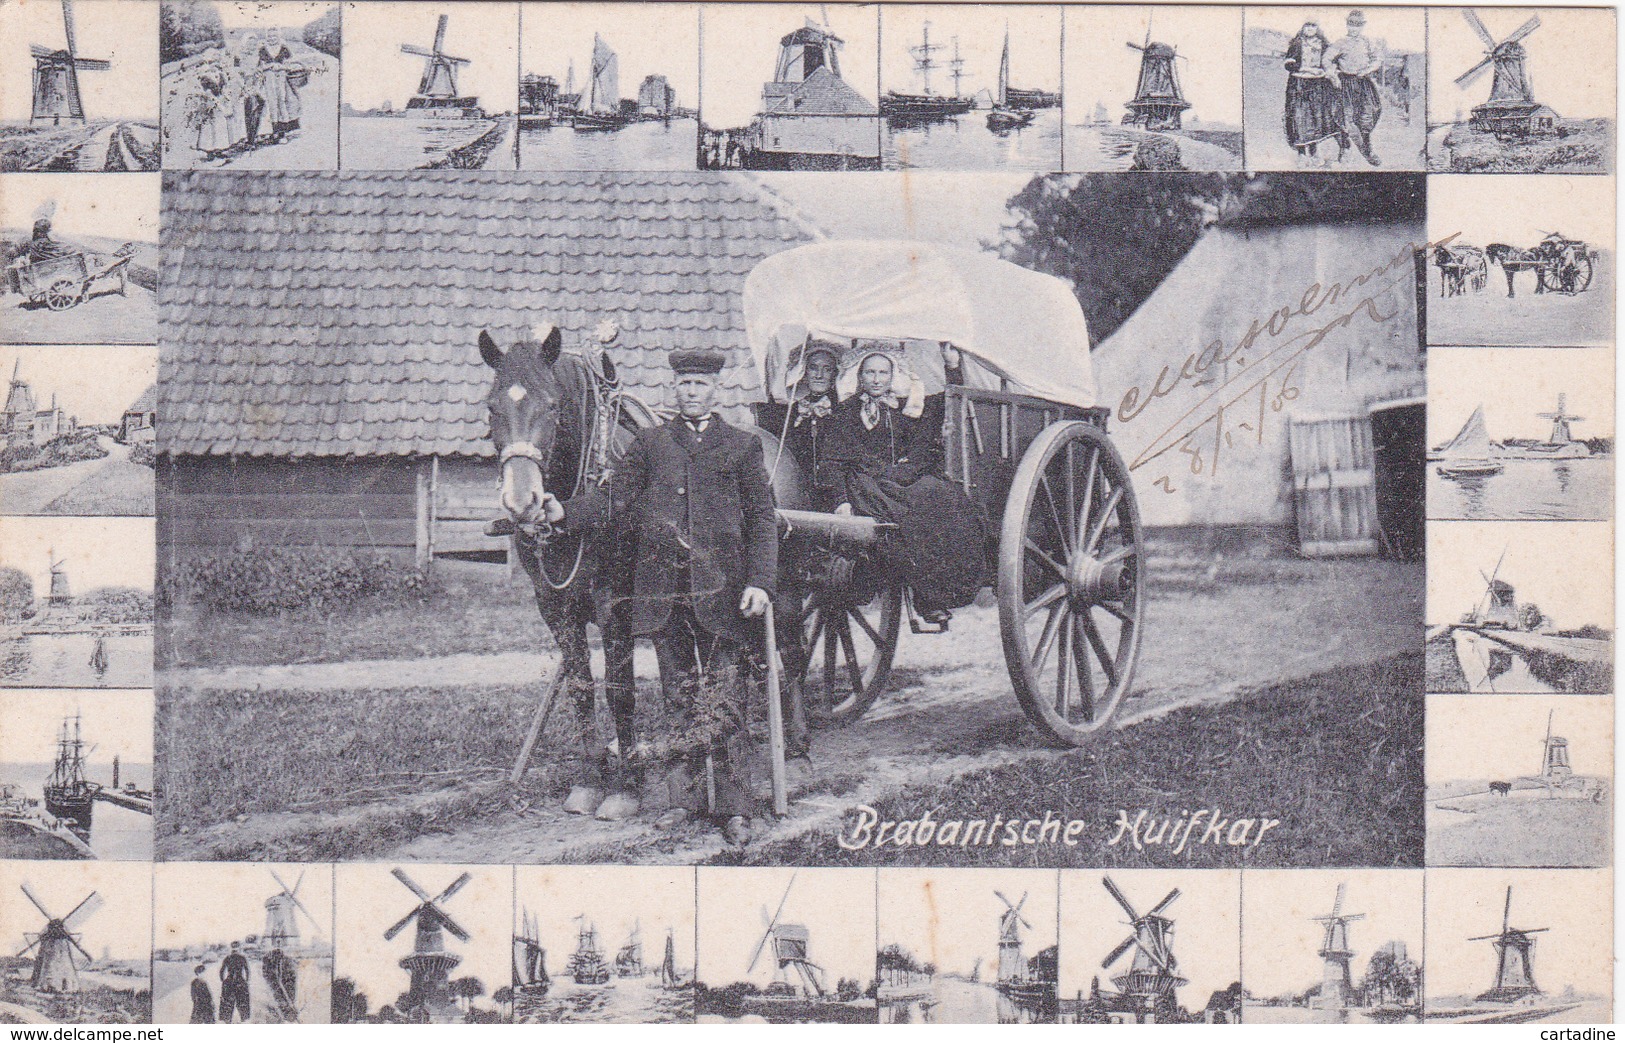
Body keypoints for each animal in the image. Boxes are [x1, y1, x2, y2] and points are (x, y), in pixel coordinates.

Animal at [474, 321, 646, 815]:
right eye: (491, 406)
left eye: (552, 405)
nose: (522, 501)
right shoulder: (554, 606)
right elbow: (581, 687)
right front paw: (590, 779)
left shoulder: (616, 602)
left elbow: (620, 688)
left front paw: (627, 787)